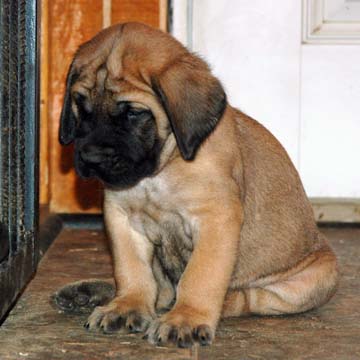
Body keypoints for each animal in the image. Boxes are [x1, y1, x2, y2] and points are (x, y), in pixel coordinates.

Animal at [54, 22, 338, 348]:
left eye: (133, 113)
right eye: (80, 105)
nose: (90, 156)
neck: (162, 167)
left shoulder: (216, 218)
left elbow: (200, 276)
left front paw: (185, 318)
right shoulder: (122, 218)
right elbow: (132, 270)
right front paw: (127, 306)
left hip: (314, 277)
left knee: (247, 298)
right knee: (161, 290)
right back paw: (90, 292)